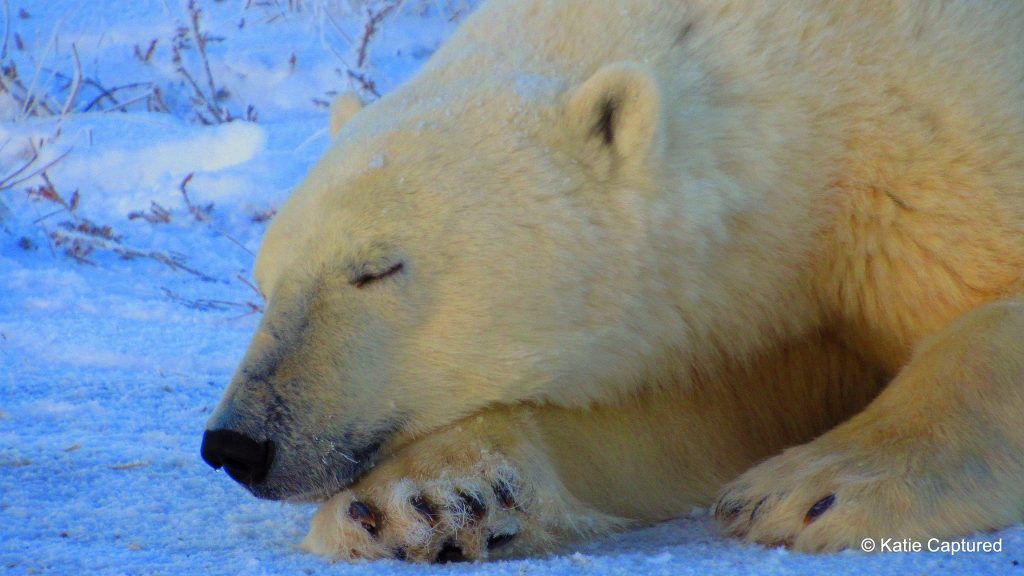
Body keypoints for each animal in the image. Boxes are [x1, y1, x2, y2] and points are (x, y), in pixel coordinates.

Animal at [200, 0, 1024, 562]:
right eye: (266, 279)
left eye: (376, 268)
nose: (237, 442)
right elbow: (703, 411)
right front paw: (418, 498)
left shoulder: (943, 155)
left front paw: (810, 486)